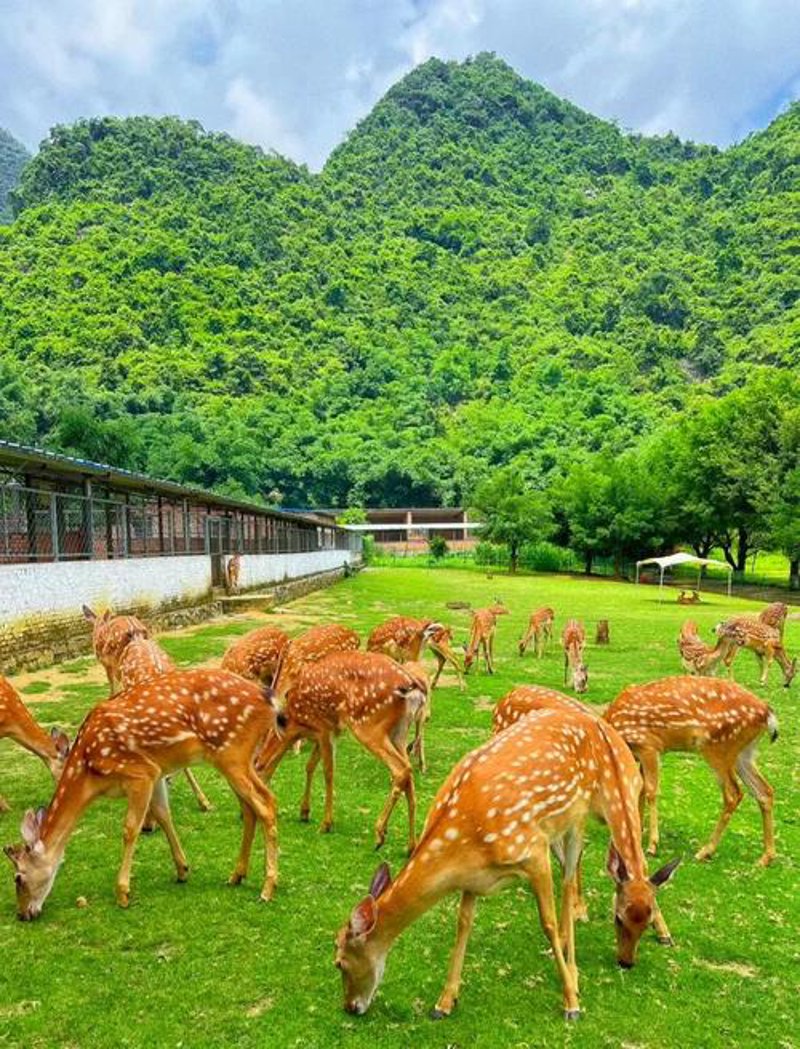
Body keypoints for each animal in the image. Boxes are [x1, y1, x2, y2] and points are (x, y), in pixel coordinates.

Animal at [257, 652, 427, 852]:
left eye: (254, 770)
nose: (242, 814)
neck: (295, 723)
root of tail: (413, 689)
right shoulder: (328, 731)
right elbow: (310, 766)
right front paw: (304, 812)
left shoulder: (324, 727)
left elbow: (328, 771)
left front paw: (326, 823)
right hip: (399, 732)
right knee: (409, 773)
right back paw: (411, 845)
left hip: (368, 725)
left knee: (400, 769)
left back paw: (379, 834)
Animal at [335, 706, 679, 1021]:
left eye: (340, 962)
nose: (351, 1007)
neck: (463, 843)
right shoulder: (473, 879)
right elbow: (463, 924)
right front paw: (444, 1001)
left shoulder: (533, 852)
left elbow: (547, 923)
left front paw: (571, 1003)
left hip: (576, 817)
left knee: (569, 880)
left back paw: (574, 972)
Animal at [605, 676, 778, 866]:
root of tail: (768, 715)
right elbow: (640, 791)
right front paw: (638, 830)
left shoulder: (648, 745)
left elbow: (650, 792)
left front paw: (652, 845)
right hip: (743, 753)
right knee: (764, 791)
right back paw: (766, 857)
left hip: (718, 746)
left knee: (733, 794)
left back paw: (705, 851)